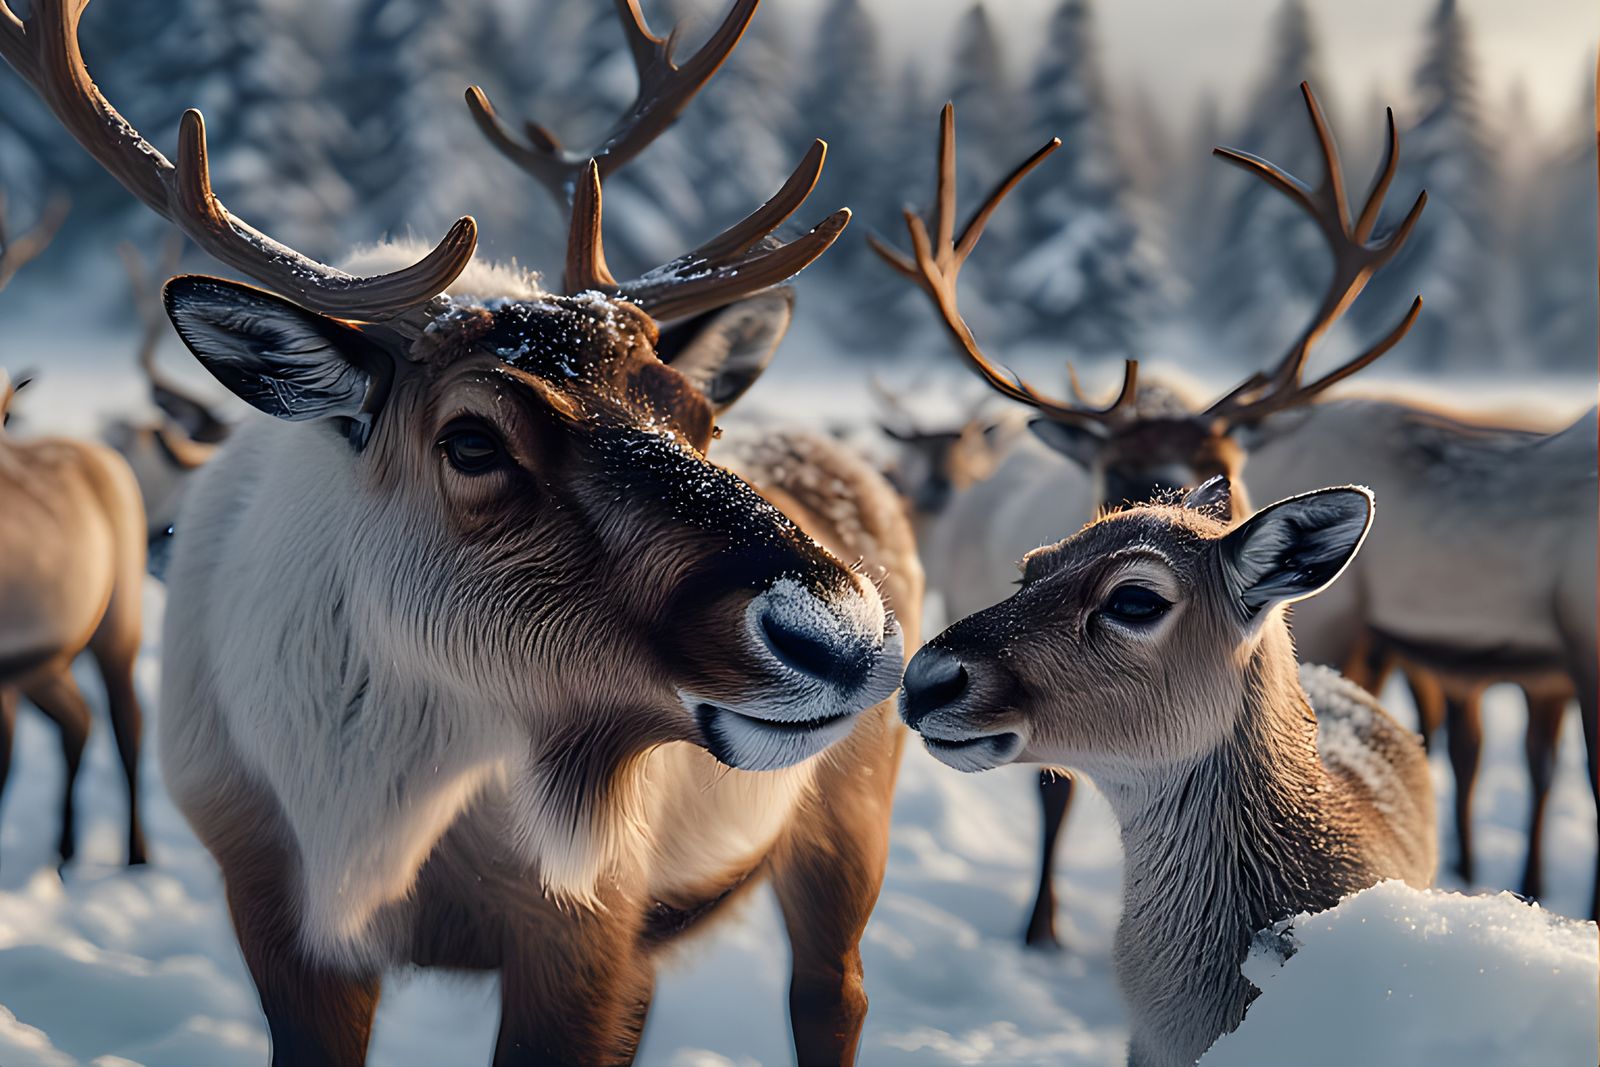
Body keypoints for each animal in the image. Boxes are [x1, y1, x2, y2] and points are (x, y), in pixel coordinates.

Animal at [0, 1, 922, 1063]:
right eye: (473, 439)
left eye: (699, 417)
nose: (843, 630)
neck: (367, 813)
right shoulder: (272, 904)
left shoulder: (584, 920)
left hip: (846, 818)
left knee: (831, 996)